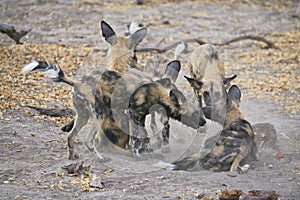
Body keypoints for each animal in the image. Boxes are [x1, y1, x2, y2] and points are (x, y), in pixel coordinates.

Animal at [21, 20, 148, 161]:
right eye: (135, 55)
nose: (138, 64)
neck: (118, 65)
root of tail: (78, 83)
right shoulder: (133, 113)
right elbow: (138, 137)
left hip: (84, 116)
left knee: (71, 136)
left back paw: (73, 156)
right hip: (100, 116)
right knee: (90, 141)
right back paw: (104, 158)